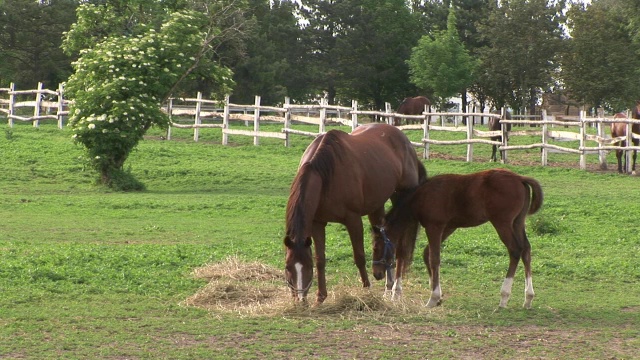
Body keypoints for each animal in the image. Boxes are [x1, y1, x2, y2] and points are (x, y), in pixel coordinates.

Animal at [284, 123, 424, 304]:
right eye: (288, 267)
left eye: (307, 267)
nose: (300, 299)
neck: (324, 175)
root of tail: (406, 142)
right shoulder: (317, 224)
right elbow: (321, 259)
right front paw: (321, 297)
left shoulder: (353, 220)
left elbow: (359, 257)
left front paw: (367, 290)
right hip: (376, 207)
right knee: (385, 238)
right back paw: (387, 288)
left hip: (400, 197)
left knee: (401, 246)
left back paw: (396, 291)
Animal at [372, 169, 544, 310]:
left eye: (376, 247)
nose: (376, 274)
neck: (423, 196)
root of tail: (520, 178)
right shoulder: (449, 226)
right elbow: (427, 254)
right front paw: (439, 296)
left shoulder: (434, 226)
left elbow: (434, 258)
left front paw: (433, 298)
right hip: (518, 222)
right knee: (526, 250)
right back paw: (528, 298)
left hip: (502, 223)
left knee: (515, 250)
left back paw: (504, 297)